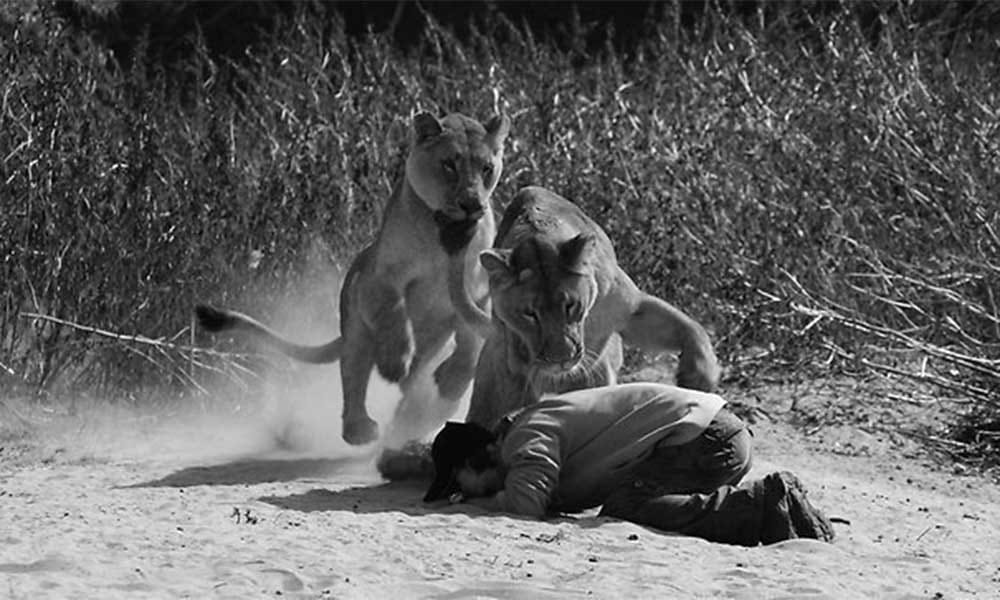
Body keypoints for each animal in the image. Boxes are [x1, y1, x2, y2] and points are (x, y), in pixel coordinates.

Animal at [196, 111, 511, 447]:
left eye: (487, 168)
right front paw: (394, 362)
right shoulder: (378, 279)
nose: (472, 204)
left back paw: (419, 410)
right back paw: (362, 428)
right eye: (449, 164)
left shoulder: (479, 290)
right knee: (354, 377)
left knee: (414, 380)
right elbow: (393, 314)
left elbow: (471, 341)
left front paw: (451, 382)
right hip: (356, 328)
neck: (441, 235)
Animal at [448, 185, 721, 429]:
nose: (561, 361)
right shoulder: (513, 356)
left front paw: (699, 376)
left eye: (570, 305)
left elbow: (691, 327)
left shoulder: (632, 310)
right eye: (529, 314)